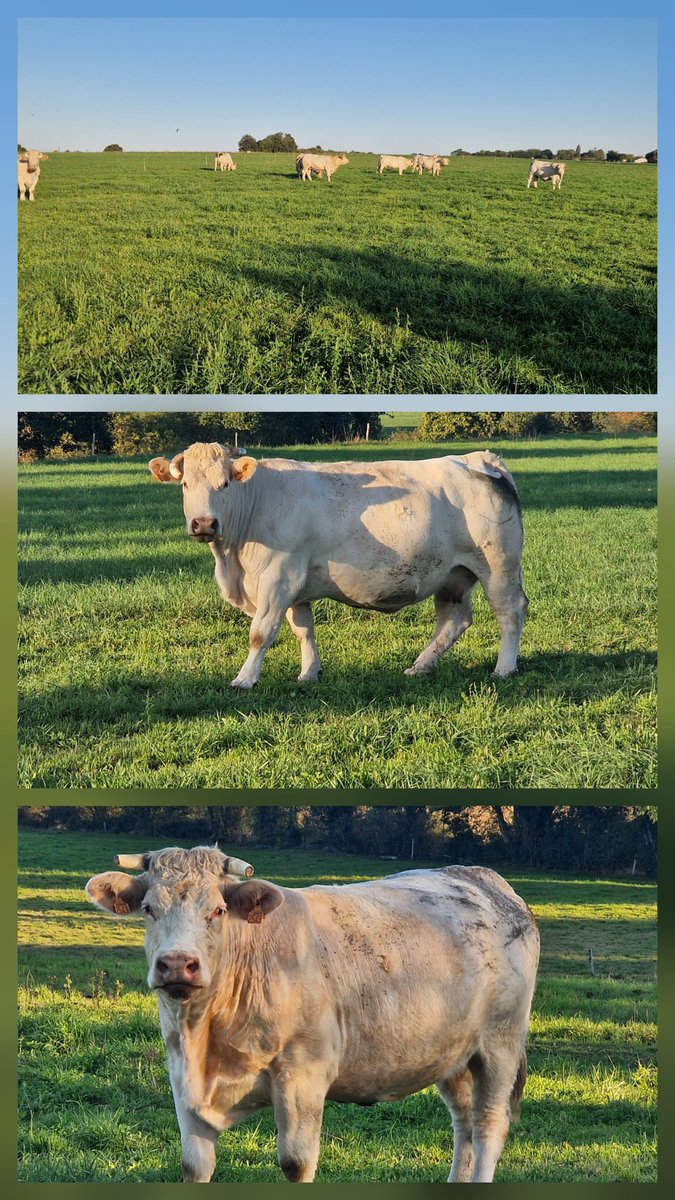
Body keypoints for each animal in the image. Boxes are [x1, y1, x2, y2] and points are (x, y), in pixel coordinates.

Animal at [85, 846, 540, 1183]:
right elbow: (194, 1165)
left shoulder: (303, 1073)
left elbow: (295, 1162)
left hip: (499, 1045)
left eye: (217, 910)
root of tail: (482, 877)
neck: (207, 1037)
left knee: (488, 1124)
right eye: (148, 908)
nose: (178, 964)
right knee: (464, 1125)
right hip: (454, 1055)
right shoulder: (182, 1076)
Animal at [148, 443, 528, 690]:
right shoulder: (296, 588)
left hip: (498, 567)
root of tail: (478, 459)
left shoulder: (277, 578)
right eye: (185, 484)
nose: (204, 523)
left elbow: (261, 633)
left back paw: (503, 669)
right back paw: (420, 667)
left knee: (510, 611)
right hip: (453, 575)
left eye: (224, 484)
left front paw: (245, 678)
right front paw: (308, 673)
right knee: (454, 620)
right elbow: (304, 630)